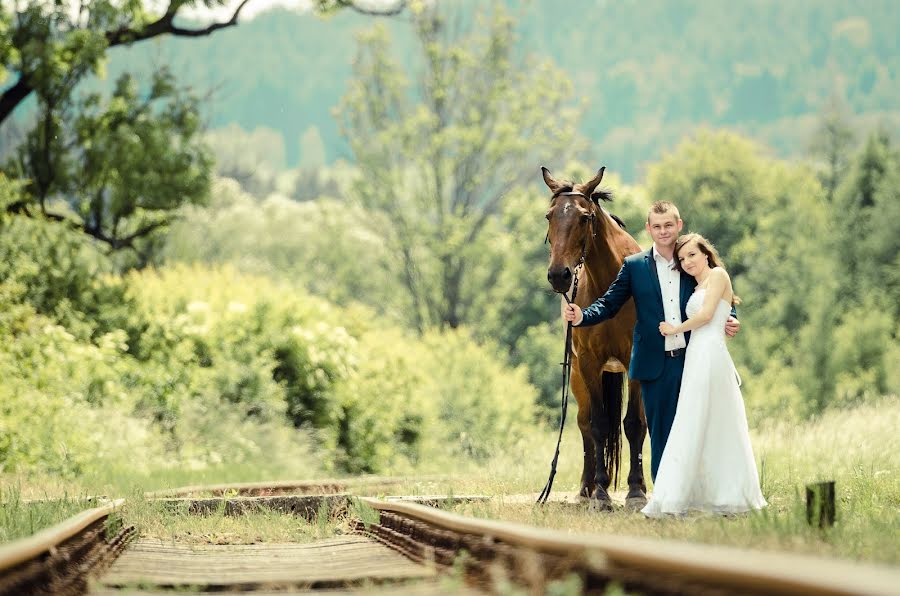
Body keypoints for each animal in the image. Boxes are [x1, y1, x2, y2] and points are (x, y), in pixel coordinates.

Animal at [540, 165, 648, 510]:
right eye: (549, 216)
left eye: (585, 217)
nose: (558, 275)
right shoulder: (588, 363)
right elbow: (599, 426)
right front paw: (601, 494)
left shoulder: (635, 360)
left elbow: (634, 424)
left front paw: (636, 492)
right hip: (579, 376)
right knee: (585, 424)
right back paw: (587, 488)